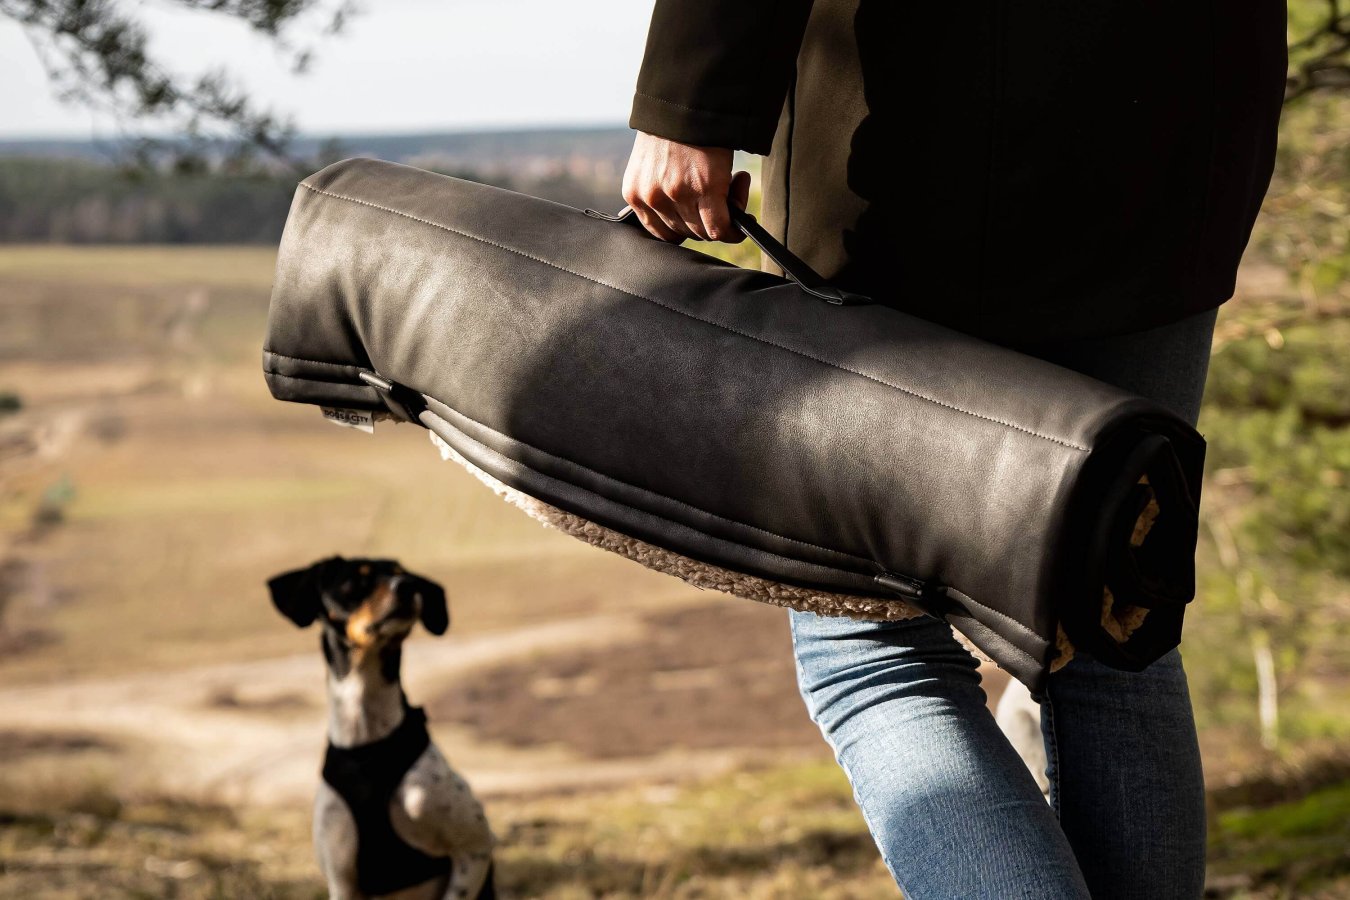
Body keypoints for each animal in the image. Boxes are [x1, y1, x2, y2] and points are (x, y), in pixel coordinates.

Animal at [267, 555, 496, 900]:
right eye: (355, 581)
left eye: (402, 575)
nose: (407, 586)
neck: (367, 740)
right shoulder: (342, 879)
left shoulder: (474, 847)